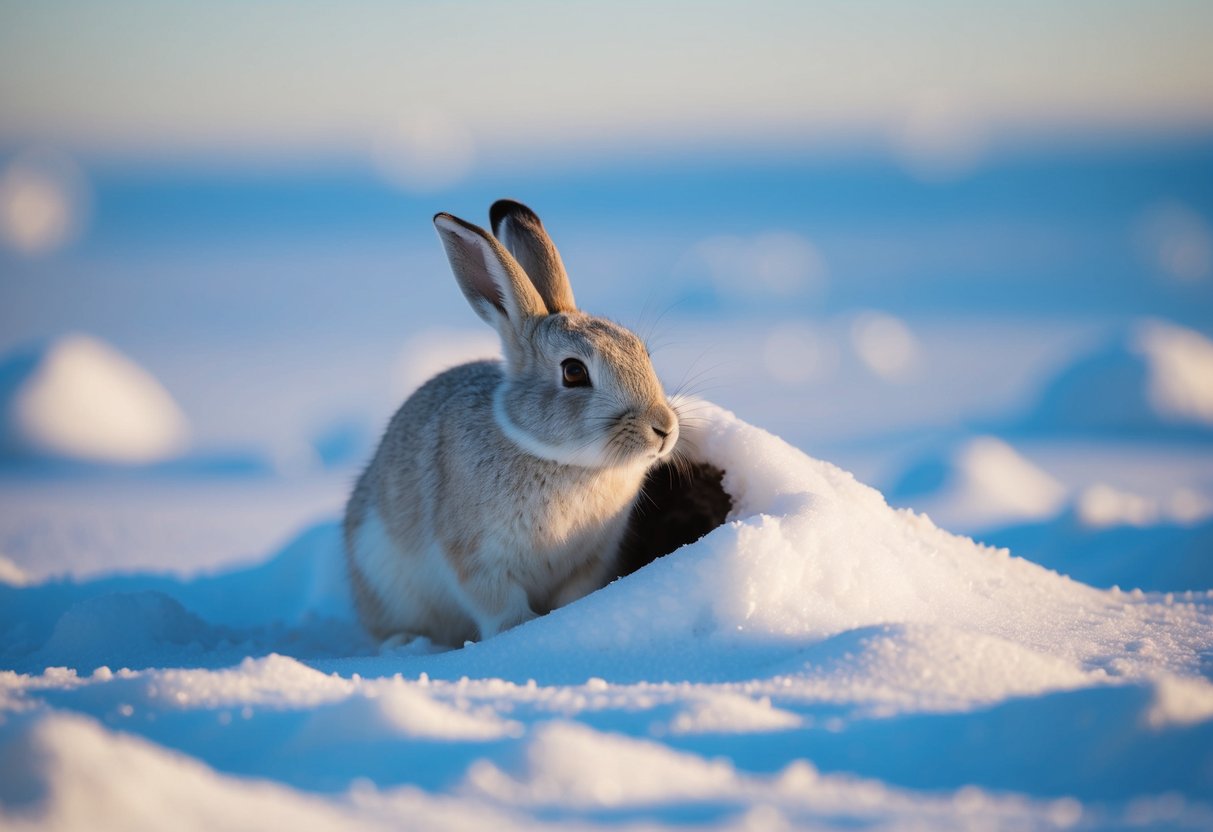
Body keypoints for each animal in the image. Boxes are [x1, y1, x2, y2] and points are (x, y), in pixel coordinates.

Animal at [344, 199, 680, 647]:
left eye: (642, 352)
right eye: (574, 372)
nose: (664, 428)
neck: (561, 460)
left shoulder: (588, 562)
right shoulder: (478, 558)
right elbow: (501, 606)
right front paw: (520, 632)